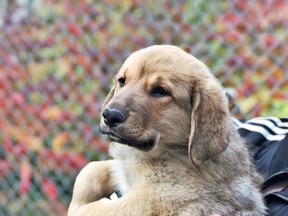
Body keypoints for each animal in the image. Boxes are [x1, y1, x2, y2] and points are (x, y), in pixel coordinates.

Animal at [67, 44, 266, 215]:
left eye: (160, 91)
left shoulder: (157, 196)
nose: (110, 115)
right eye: (122, 81)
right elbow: (90, 170)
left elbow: (92, 209)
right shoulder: (123, 168)